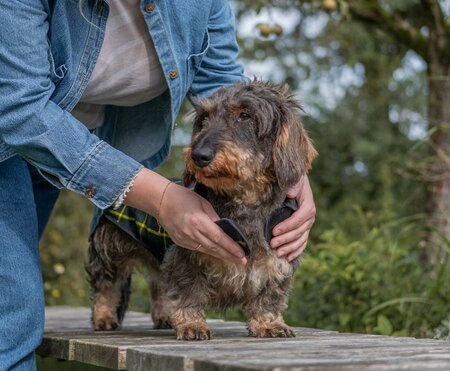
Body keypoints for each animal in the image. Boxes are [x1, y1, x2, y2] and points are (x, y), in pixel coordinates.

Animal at [87, 80, 316, 340]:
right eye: (205, 118)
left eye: (245, 116)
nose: (199, 155)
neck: (244, 203)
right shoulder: (186, 259)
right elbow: (188, 293)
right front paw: (192, 325)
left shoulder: (279, 260)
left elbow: (269, 296)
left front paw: (269, 323)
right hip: (109, 250)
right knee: (106, 286)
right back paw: (104, 318)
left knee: (158, 286)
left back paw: (164, 316)